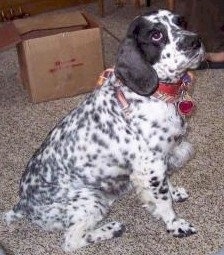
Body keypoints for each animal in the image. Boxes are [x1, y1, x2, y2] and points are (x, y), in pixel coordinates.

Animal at [3, 9, 206, 251]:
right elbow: (164, 201)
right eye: (156, 35)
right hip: (92, 199)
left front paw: (174, 194)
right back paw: (112, 228)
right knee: (71, 240)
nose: (195, 41)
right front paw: (175, 224)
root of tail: (22, 205)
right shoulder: (152, 165)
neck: (158, 96)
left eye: (180, 21)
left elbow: (164, 187)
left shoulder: (157, 163)